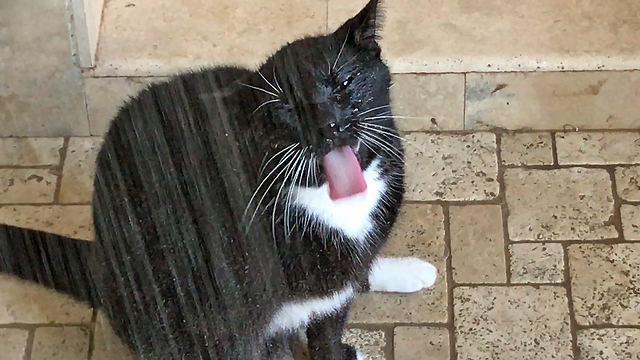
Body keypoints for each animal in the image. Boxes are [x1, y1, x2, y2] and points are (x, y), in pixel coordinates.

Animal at [0, 1, 436, 358]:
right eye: (286, 108)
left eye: (344, 82)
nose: (329, 125)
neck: (331, 203)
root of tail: (98, 262)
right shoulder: (238, 322)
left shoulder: (336, 292)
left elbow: (328, 330)